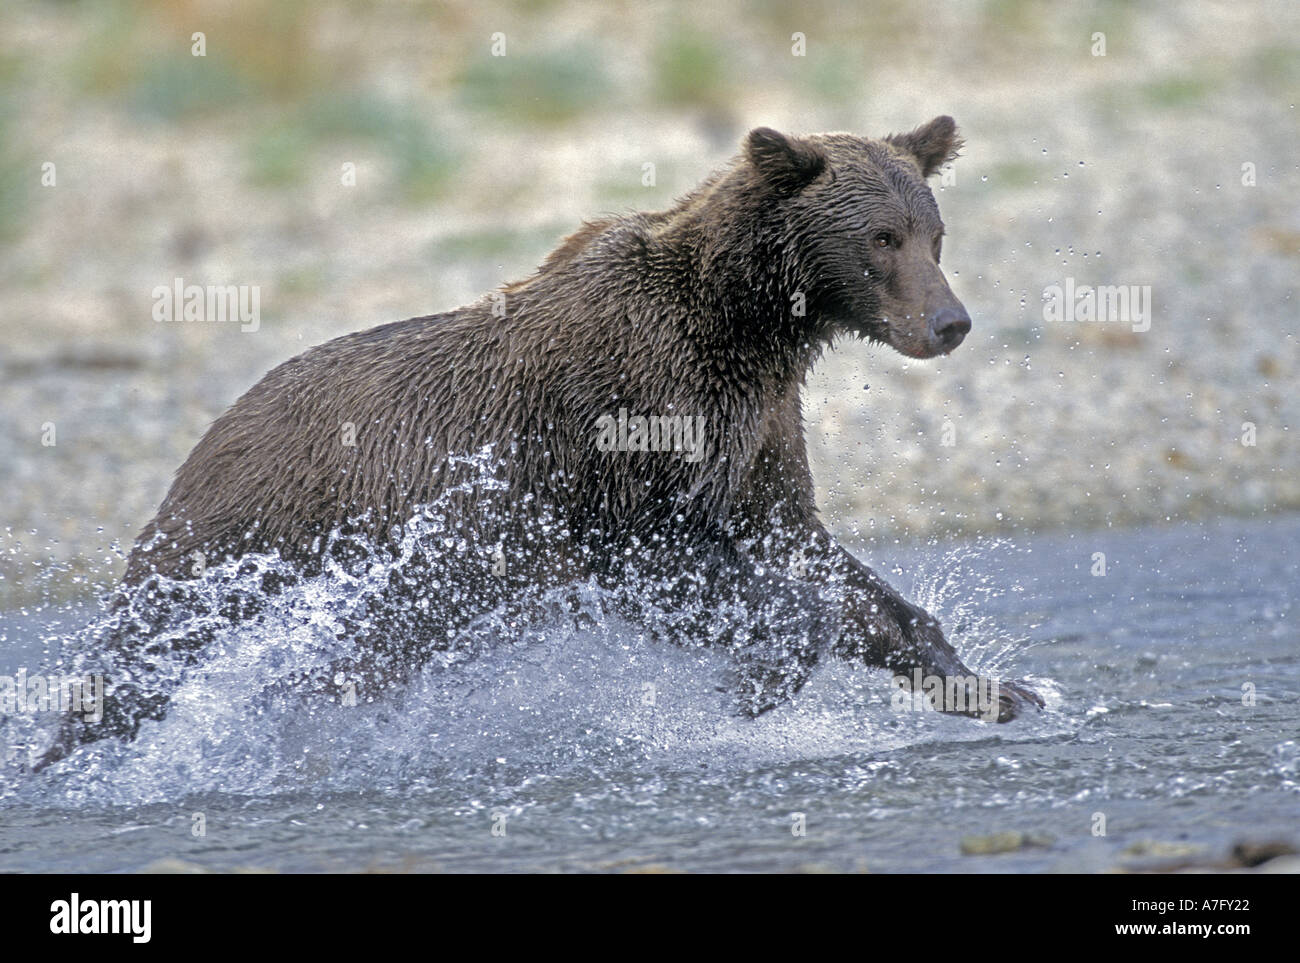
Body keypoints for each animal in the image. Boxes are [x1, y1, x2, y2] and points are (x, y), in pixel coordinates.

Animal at [38, 118, 1045, 764]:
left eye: (935, 233)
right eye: (882, 237)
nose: (950, 322)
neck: (745, 324)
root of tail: (212, 426)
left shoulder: (754, 433)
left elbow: (812, 551)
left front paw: (994, 687)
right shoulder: (612, 436)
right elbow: (696, 569)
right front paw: (754, 678)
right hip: (249, 525)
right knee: (151, 643)